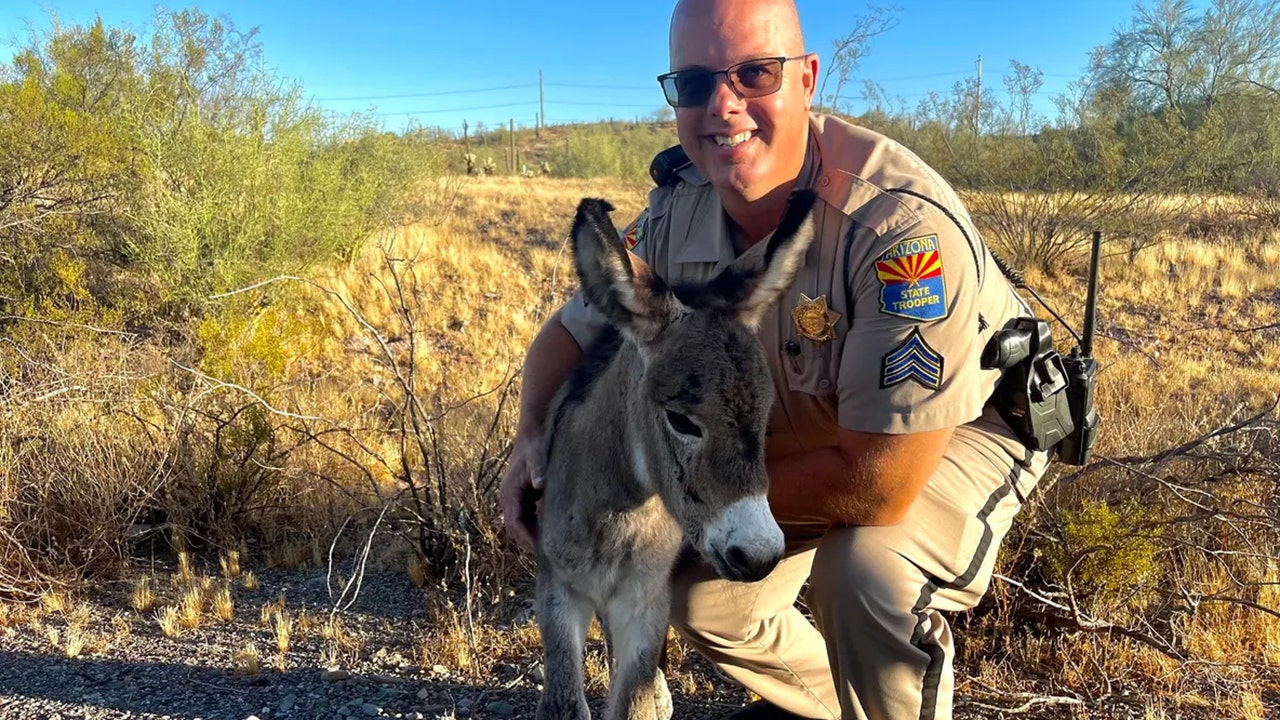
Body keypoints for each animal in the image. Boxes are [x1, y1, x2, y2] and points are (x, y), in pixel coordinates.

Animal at [532, 188, 814, 712]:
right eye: (682, 420)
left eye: (766, 419)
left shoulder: (646, 601)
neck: (617, 513)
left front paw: (652, 699)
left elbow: (635, 702)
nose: (760, 556)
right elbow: (564, 700)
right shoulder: (557, 592)